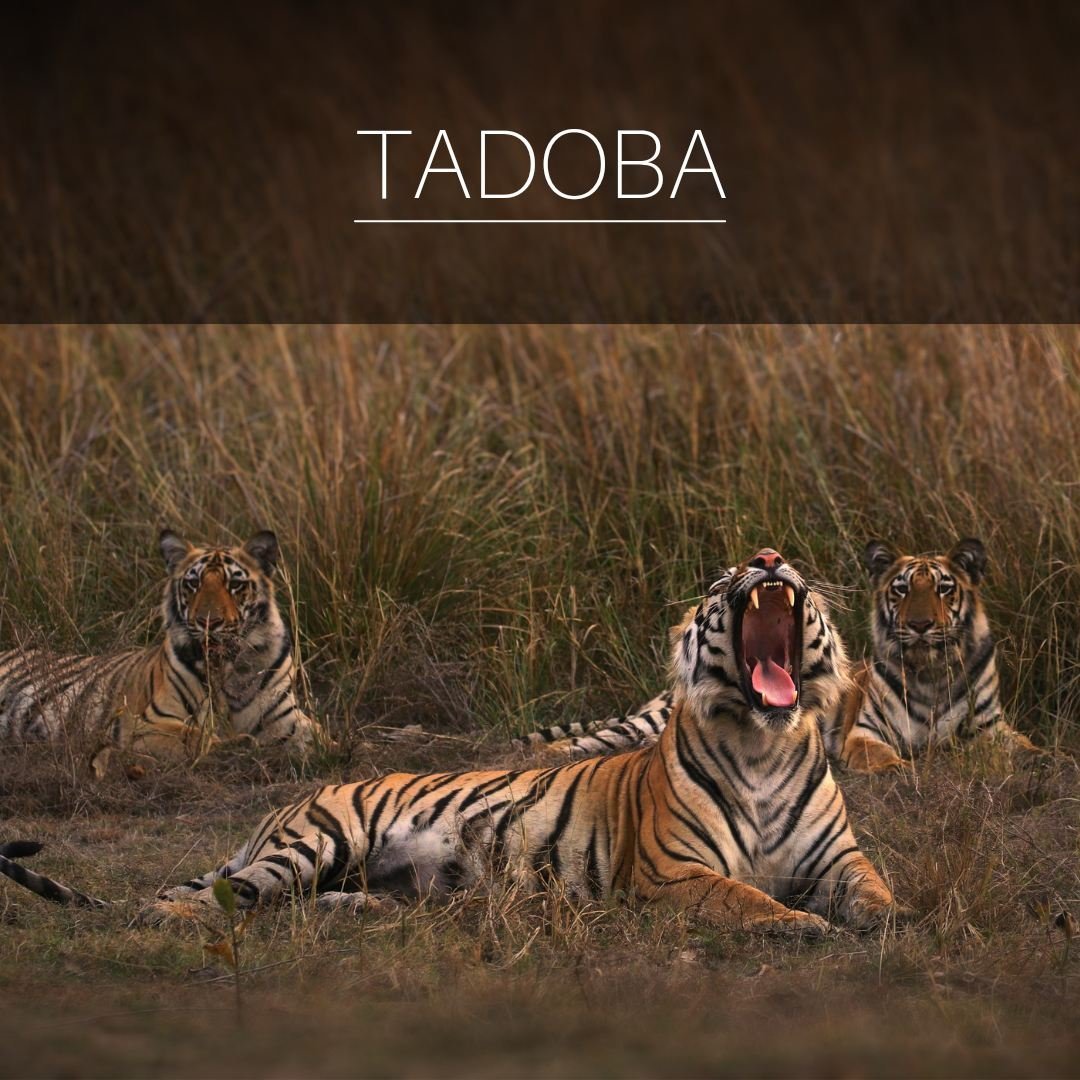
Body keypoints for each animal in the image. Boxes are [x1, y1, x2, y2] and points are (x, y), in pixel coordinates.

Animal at [0, 529, 323, 772]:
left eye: (235, 584)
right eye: (193, 583)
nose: (208, 621)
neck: (230, 669)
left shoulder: (287, 719)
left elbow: (318, 738)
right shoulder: (146, 724)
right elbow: (196, 737)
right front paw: (239, 744)